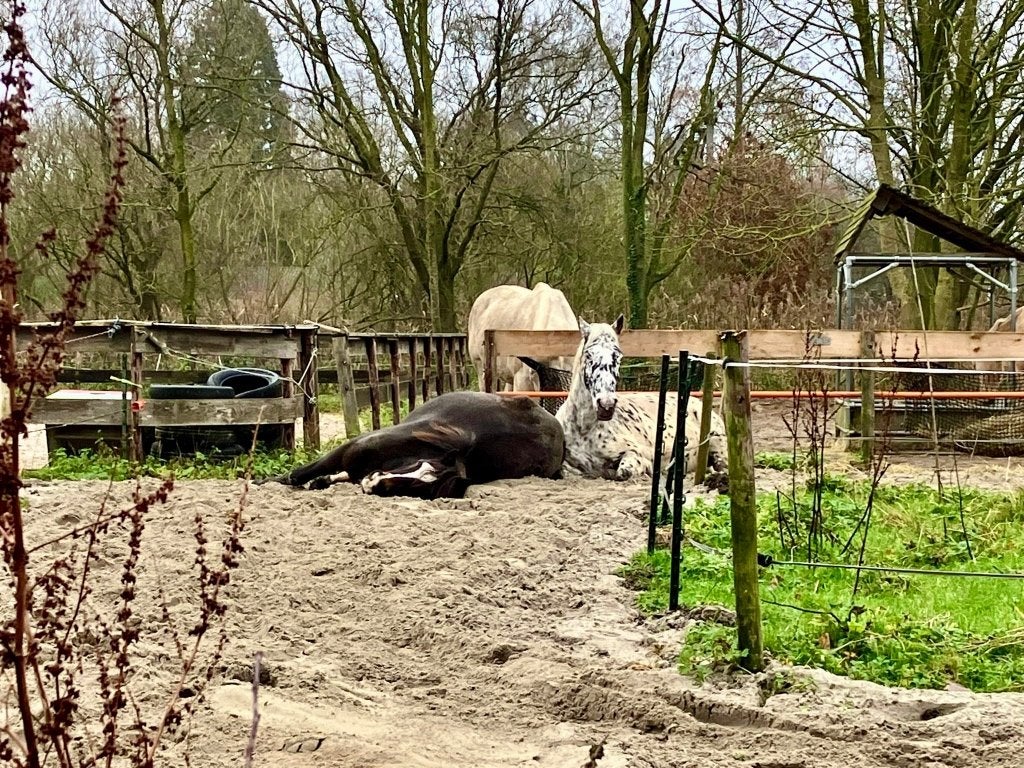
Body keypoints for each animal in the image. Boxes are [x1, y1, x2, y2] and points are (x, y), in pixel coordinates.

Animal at [554, 315, 728, 485]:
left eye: (618, 356)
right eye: (588, 355)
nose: (606, 405)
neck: (584, 429)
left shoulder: (635, 454)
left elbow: (624, 472)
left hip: (718, 447)